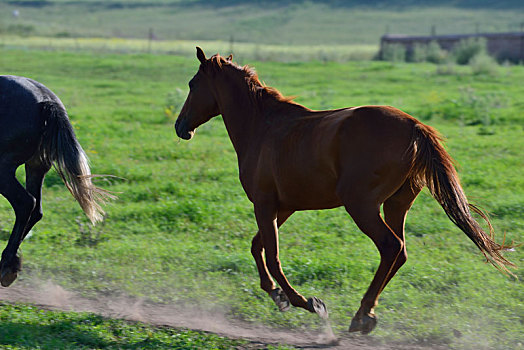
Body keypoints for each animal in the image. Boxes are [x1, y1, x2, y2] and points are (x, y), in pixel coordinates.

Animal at [0, 76, 110, 288]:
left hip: (4, 170)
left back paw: (7, 266)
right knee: (36, 210)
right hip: (36, 166)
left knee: (25, 203)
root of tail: (46, 100)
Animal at [174, 48, 512, 334]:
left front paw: (306, 303)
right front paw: (277, 296)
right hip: (396, 204)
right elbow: (258, 246)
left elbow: (272, 254)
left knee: (390, 246)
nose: (181, 127)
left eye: (192, 83)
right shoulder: (283, 206)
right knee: (400, 251)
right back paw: (365, 314)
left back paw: (362, 316)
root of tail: (415, 128)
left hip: (360, 205)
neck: (262, 126)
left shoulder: (265, 203)